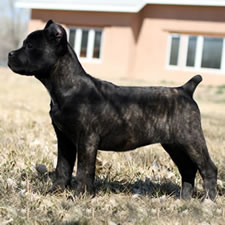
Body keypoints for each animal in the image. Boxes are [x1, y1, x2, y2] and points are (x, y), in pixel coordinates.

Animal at [7, 20, 217, 200]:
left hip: (191, 140)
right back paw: (185, 199)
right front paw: (55, 191)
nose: (9, 54)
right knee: (188, 170)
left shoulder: (87, 139)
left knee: (208, 169)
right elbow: (63, 167)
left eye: (29, 46)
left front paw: (79, 195)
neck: (67, 87)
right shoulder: (64, 139)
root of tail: (185, 89)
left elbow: (83, 170)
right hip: (174, 145)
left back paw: (208, 201)